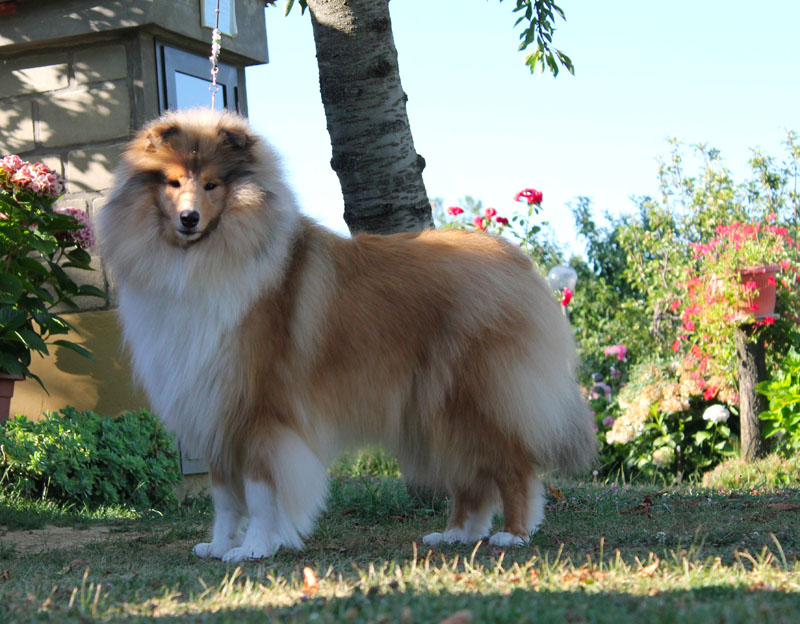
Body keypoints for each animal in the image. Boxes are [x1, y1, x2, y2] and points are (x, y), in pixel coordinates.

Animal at [98, 108, 596, 562]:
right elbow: (224, 499)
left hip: (476, 396)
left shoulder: (258, 410)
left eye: (211, 185)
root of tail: (517, 260)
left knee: (514, 468)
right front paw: (219, 546)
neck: (201, 259)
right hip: (435, 408)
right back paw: (456, 534)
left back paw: (513, 534)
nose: (189, 219)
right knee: (471, 477)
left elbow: (259, 496)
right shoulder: (212, 410)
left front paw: (254, 549)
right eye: (172, 182)